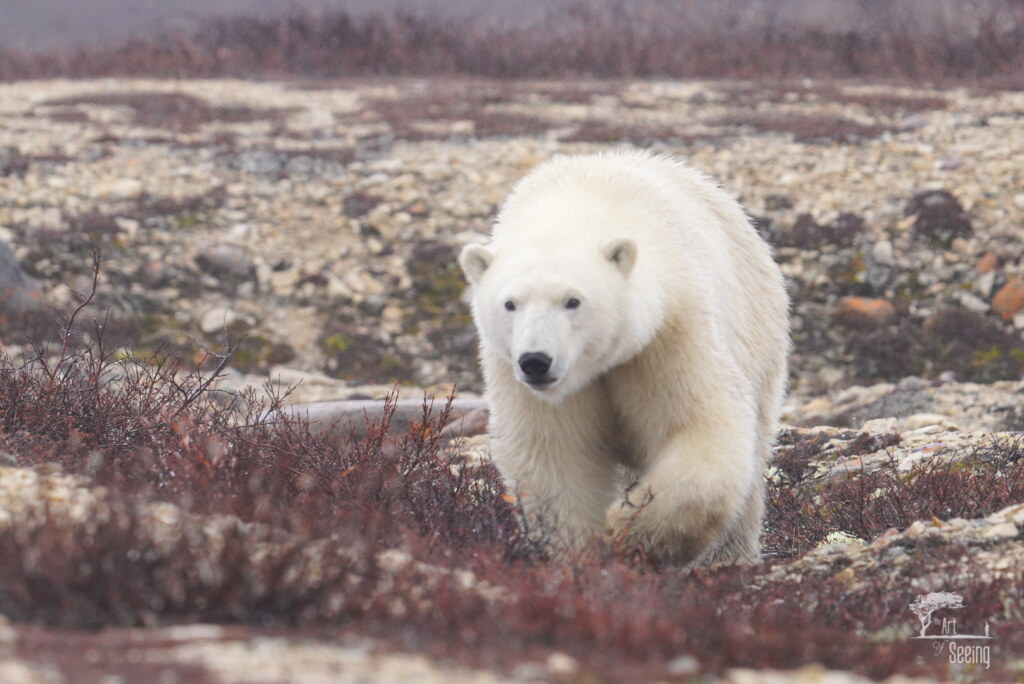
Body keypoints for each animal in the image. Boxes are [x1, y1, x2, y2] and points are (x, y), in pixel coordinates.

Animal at [458, 148, 790, 566]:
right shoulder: (522, 380)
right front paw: (580, 555)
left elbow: (701, 425)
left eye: (573, 300)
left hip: (759, 329)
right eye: (510, 304)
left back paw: (730, 557)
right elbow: (555, 452)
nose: (536, 361)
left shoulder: (668, 334)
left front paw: (627, 532)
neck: (574, 206)